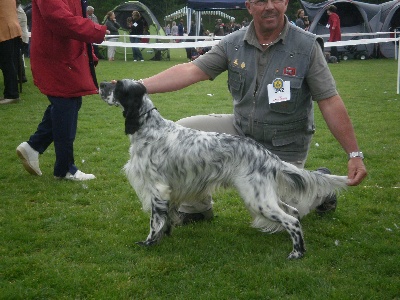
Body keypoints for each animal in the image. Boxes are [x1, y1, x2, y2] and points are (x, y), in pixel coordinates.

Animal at [97, 79, 346, 258]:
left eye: (118, 86)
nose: (100, 84)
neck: (149, 127)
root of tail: (267, 155)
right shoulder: (170, 191)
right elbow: (165, 220)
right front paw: (164, 237)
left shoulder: (157, 189)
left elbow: (155, 221)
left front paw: (148, 243)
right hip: (264, 195)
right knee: (293, 212)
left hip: (257, 198)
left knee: (292, 220)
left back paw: (297, 252)